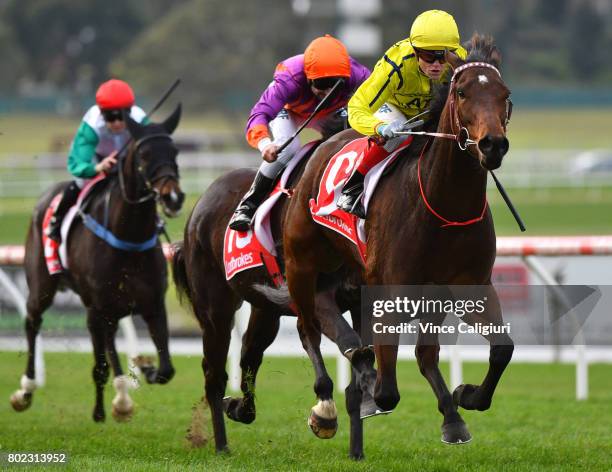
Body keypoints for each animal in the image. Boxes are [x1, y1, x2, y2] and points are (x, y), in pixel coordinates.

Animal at [10, 106, 184, 420]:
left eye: (174, 151)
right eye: (144, 155)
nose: (173, 196)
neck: (128, 238)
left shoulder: (152, 304)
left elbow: (166, 369)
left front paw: (145, 369)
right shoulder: (98, 307)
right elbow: (101, 364)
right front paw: (107, 406)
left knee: (108, 342)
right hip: (42, 287)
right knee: (32, 321)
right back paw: (25, 390)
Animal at [171, 139, 378, 458]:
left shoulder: (358, 300)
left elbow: (356, 360)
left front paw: (356, 452)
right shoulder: (315, 296)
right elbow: (339, 341)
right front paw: (324, 413)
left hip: (264, 310)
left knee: (249, 357)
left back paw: (239, 409)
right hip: (215, 309)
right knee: (214, 375)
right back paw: (221, 445)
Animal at [284, 35, 512, 444]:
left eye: (505, 94)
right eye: (463, 93)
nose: (492, 145)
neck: (445, 206)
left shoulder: (468, 286)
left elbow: (500, 350)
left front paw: (465, 398)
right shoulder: (389, 291)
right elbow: (387, 387)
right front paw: (366, 395)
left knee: (419, 353)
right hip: (301, 263)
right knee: (307, 327)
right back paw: (324, 408)